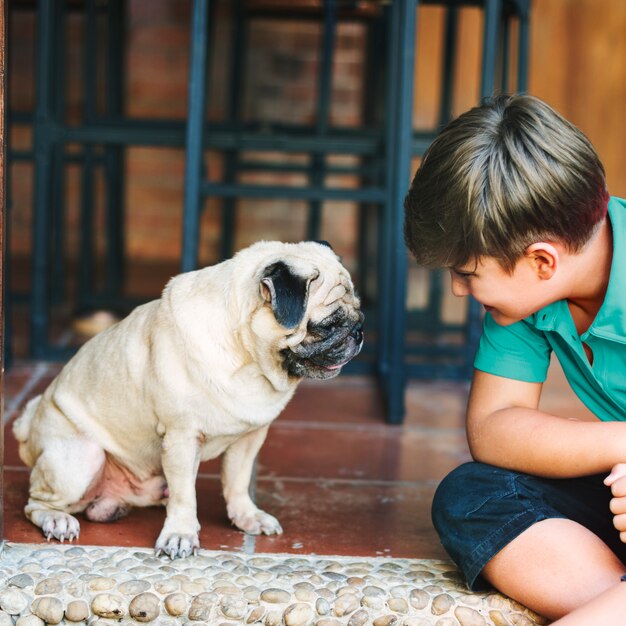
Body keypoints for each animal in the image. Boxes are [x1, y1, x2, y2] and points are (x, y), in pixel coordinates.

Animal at [13, 239, 360, 556]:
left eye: (359, 315)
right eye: (326, 326)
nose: (358, 332)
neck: (247, 358)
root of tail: (28, 425)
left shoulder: (249, 437)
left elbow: (237, 483)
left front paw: (246, 517)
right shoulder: (181, 437)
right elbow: (184, 498)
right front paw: (180, 534)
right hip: (79, 460)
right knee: (36, 502)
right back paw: (57, 520)